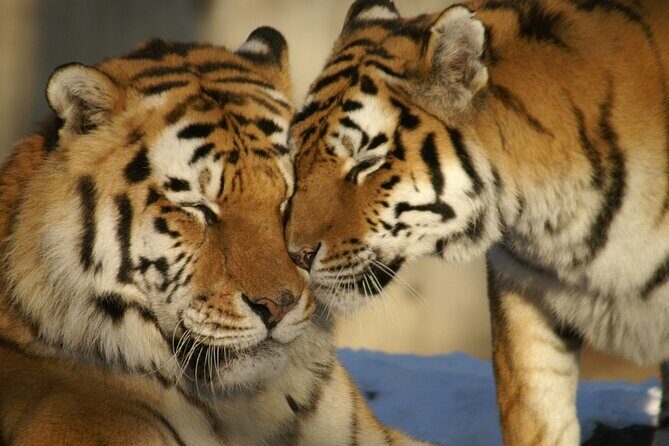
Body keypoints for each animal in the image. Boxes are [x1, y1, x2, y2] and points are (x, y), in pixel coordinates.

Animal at [285, 0, 669, 444]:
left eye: (366, 161)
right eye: (296, 157)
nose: (296, 254)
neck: (554, 224)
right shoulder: (523, 293)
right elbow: (536, 417)